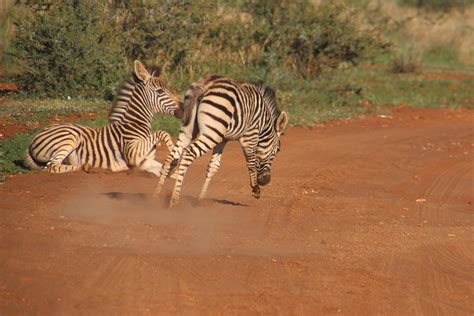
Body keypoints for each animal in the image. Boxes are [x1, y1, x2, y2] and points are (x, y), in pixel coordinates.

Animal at [24, 60, 184, 177]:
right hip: (69, 137)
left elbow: (167, 172)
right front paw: (175, 153)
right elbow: (163, 132)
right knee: (51, 167)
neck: (135, 123)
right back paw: (86, 166)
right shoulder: (133, 154)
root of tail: (32, 139)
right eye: (160, 91)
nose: (183, 109)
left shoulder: (147, 162)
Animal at [157, 74, 286, 207]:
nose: (266, 181)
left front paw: (200, 198)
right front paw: (255, 189)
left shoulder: (223, 140)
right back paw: (174, 200)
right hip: (212, 134)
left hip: (189, 129)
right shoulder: (250, 137)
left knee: (172, 155)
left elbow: (213, 166)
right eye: (277, 150)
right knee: (188, 153)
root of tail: (207, 85)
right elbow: (251, 162)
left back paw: (156, 195)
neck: (263, 124)